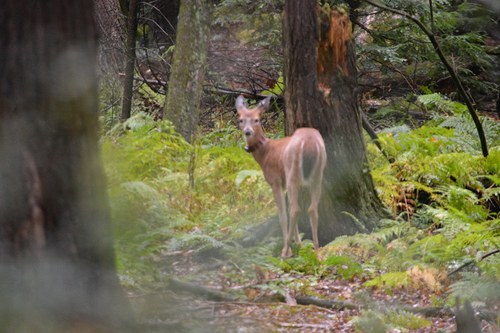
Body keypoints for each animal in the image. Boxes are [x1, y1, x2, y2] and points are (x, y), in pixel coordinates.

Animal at [235, 94, 328, 256]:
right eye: (241, 120)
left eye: (256, 119)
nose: (247, 131)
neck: (265, 153)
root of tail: (309, 142)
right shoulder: (284, 183)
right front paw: (299, 244)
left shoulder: (275, 180)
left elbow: (282, 215)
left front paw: (291, 248)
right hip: (318, 173)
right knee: (312, 209)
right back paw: (317, 252)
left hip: (292, 172)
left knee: (295, 210)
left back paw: (284, 253)